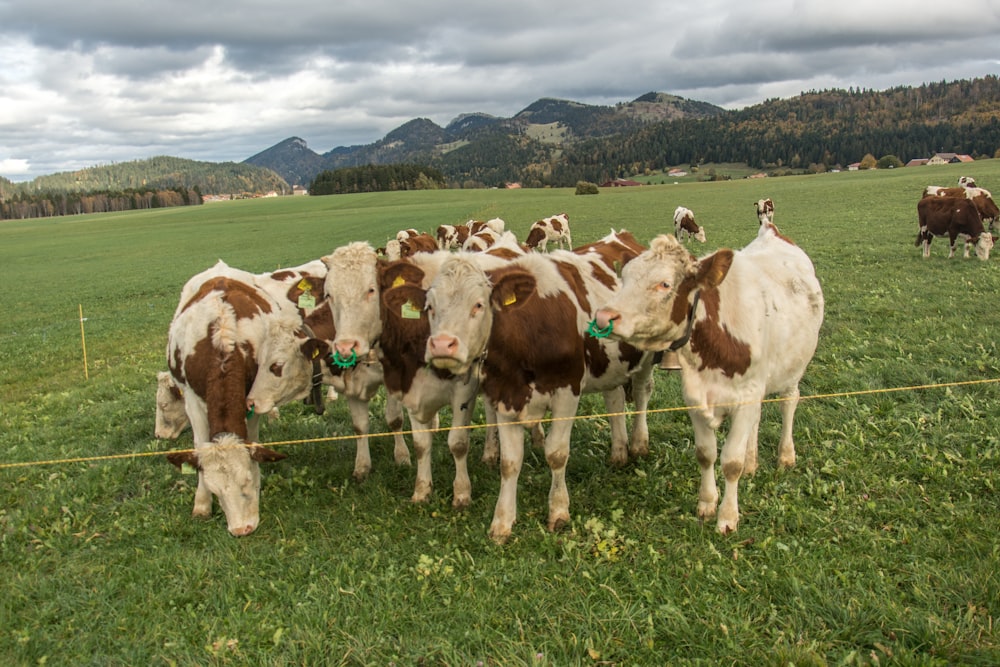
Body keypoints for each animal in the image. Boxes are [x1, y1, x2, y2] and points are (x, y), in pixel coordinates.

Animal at [420, 243, 656, 544]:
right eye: (430, 307)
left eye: (478, 304)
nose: (441, 345)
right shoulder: (505, 394)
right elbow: (510, 462)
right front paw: (502, 522)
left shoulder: (567, 392)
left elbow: (556, 453)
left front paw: (558, 511)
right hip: (610, 364)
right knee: (614, 400)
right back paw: (618, 452)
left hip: (647, 356)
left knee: (641, 392)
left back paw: (638, 444)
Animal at [592, 227, 820, 536]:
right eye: (624, 278)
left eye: (664, 284)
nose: (604, 317)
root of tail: (772, 232)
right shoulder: (695, 398)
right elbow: (706, 454)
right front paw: (707, 504)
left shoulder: (746, 395)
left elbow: (731, 462)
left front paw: (728, 517)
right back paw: (753, 461)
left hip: (794, 368)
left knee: (789, 403)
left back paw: (785, 455)